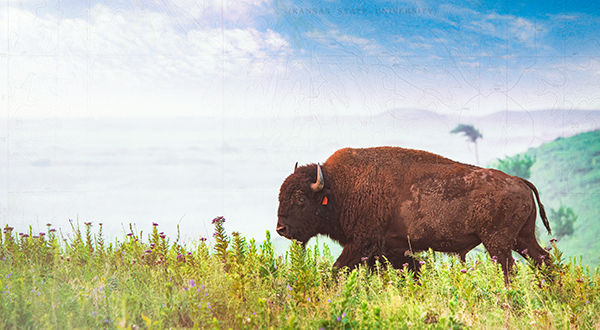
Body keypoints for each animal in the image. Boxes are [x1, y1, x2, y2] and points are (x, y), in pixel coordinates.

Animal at [276, 148, 552, 280]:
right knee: (544, 260)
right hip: (522, 239)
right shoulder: (392, 250)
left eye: (300, 198)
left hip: (498, 243)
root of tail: (519, 180)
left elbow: (337, 269)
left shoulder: (362, 245)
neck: (340, 188)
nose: (281, 229)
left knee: (510, 270)